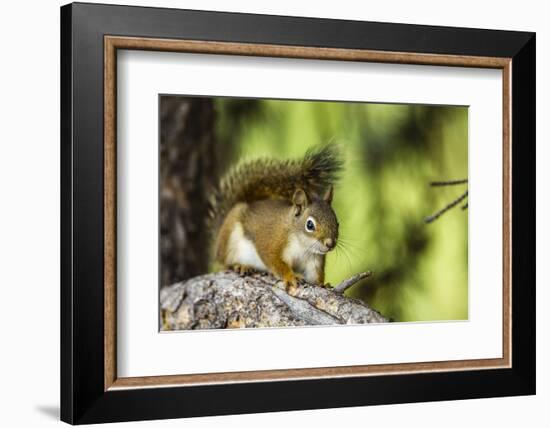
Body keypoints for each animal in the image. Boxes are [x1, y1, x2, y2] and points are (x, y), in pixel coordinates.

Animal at [209, 145, 342, 292]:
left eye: (337, 223)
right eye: (310, 225)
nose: (330, 244)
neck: (303, 246)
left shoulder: (314, 260)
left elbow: (315, 276)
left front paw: (322, 284)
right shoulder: (272, 242)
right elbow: (276, 263)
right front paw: (291, 277)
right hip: (229, 239)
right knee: (223, 263)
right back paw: (239, 265)